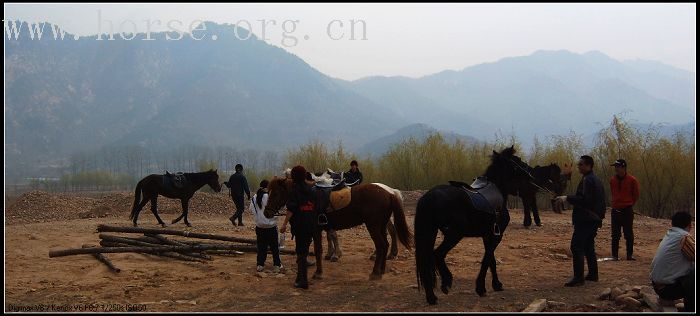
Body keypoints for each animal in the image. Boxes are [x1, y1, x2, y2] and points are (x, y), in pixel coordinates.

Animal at [266, 179, 412, 280]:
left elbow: (318, 249)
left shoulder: (316, 230)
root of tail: (389, 193)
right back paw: (381, 269)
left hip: (373, 226)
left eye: (276, 193)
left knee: (381, 245)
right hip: (380, 225)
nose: (267, 212)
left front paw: (319, 272)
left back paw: (375, 272)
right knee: (386, 244)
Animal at [416, 146, 532, 304]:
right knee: (438, 254)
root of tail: (429, 197)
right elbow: (487, 259)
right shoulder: (497, 235)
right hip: (454, 234)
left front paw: (496, 284)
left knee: (427, 260)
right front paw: (481, 288)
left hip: (431, 232)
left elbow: (491, 260)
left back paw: (431, 297)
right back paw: (446, 282)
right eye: (518, 161)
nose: (530, 172)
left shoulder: (488, 235)